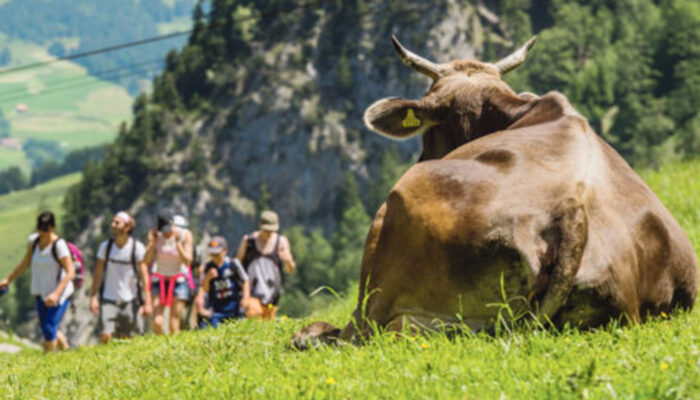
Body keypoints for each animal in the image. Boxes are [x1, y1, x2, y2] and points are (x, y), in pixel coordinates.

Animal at [292, 35, 700, 350]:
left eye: (429, 130)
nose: (422, 156)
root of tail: (572, 211)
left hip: (391, 230)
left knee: (356, 333)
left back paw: (309, 335)